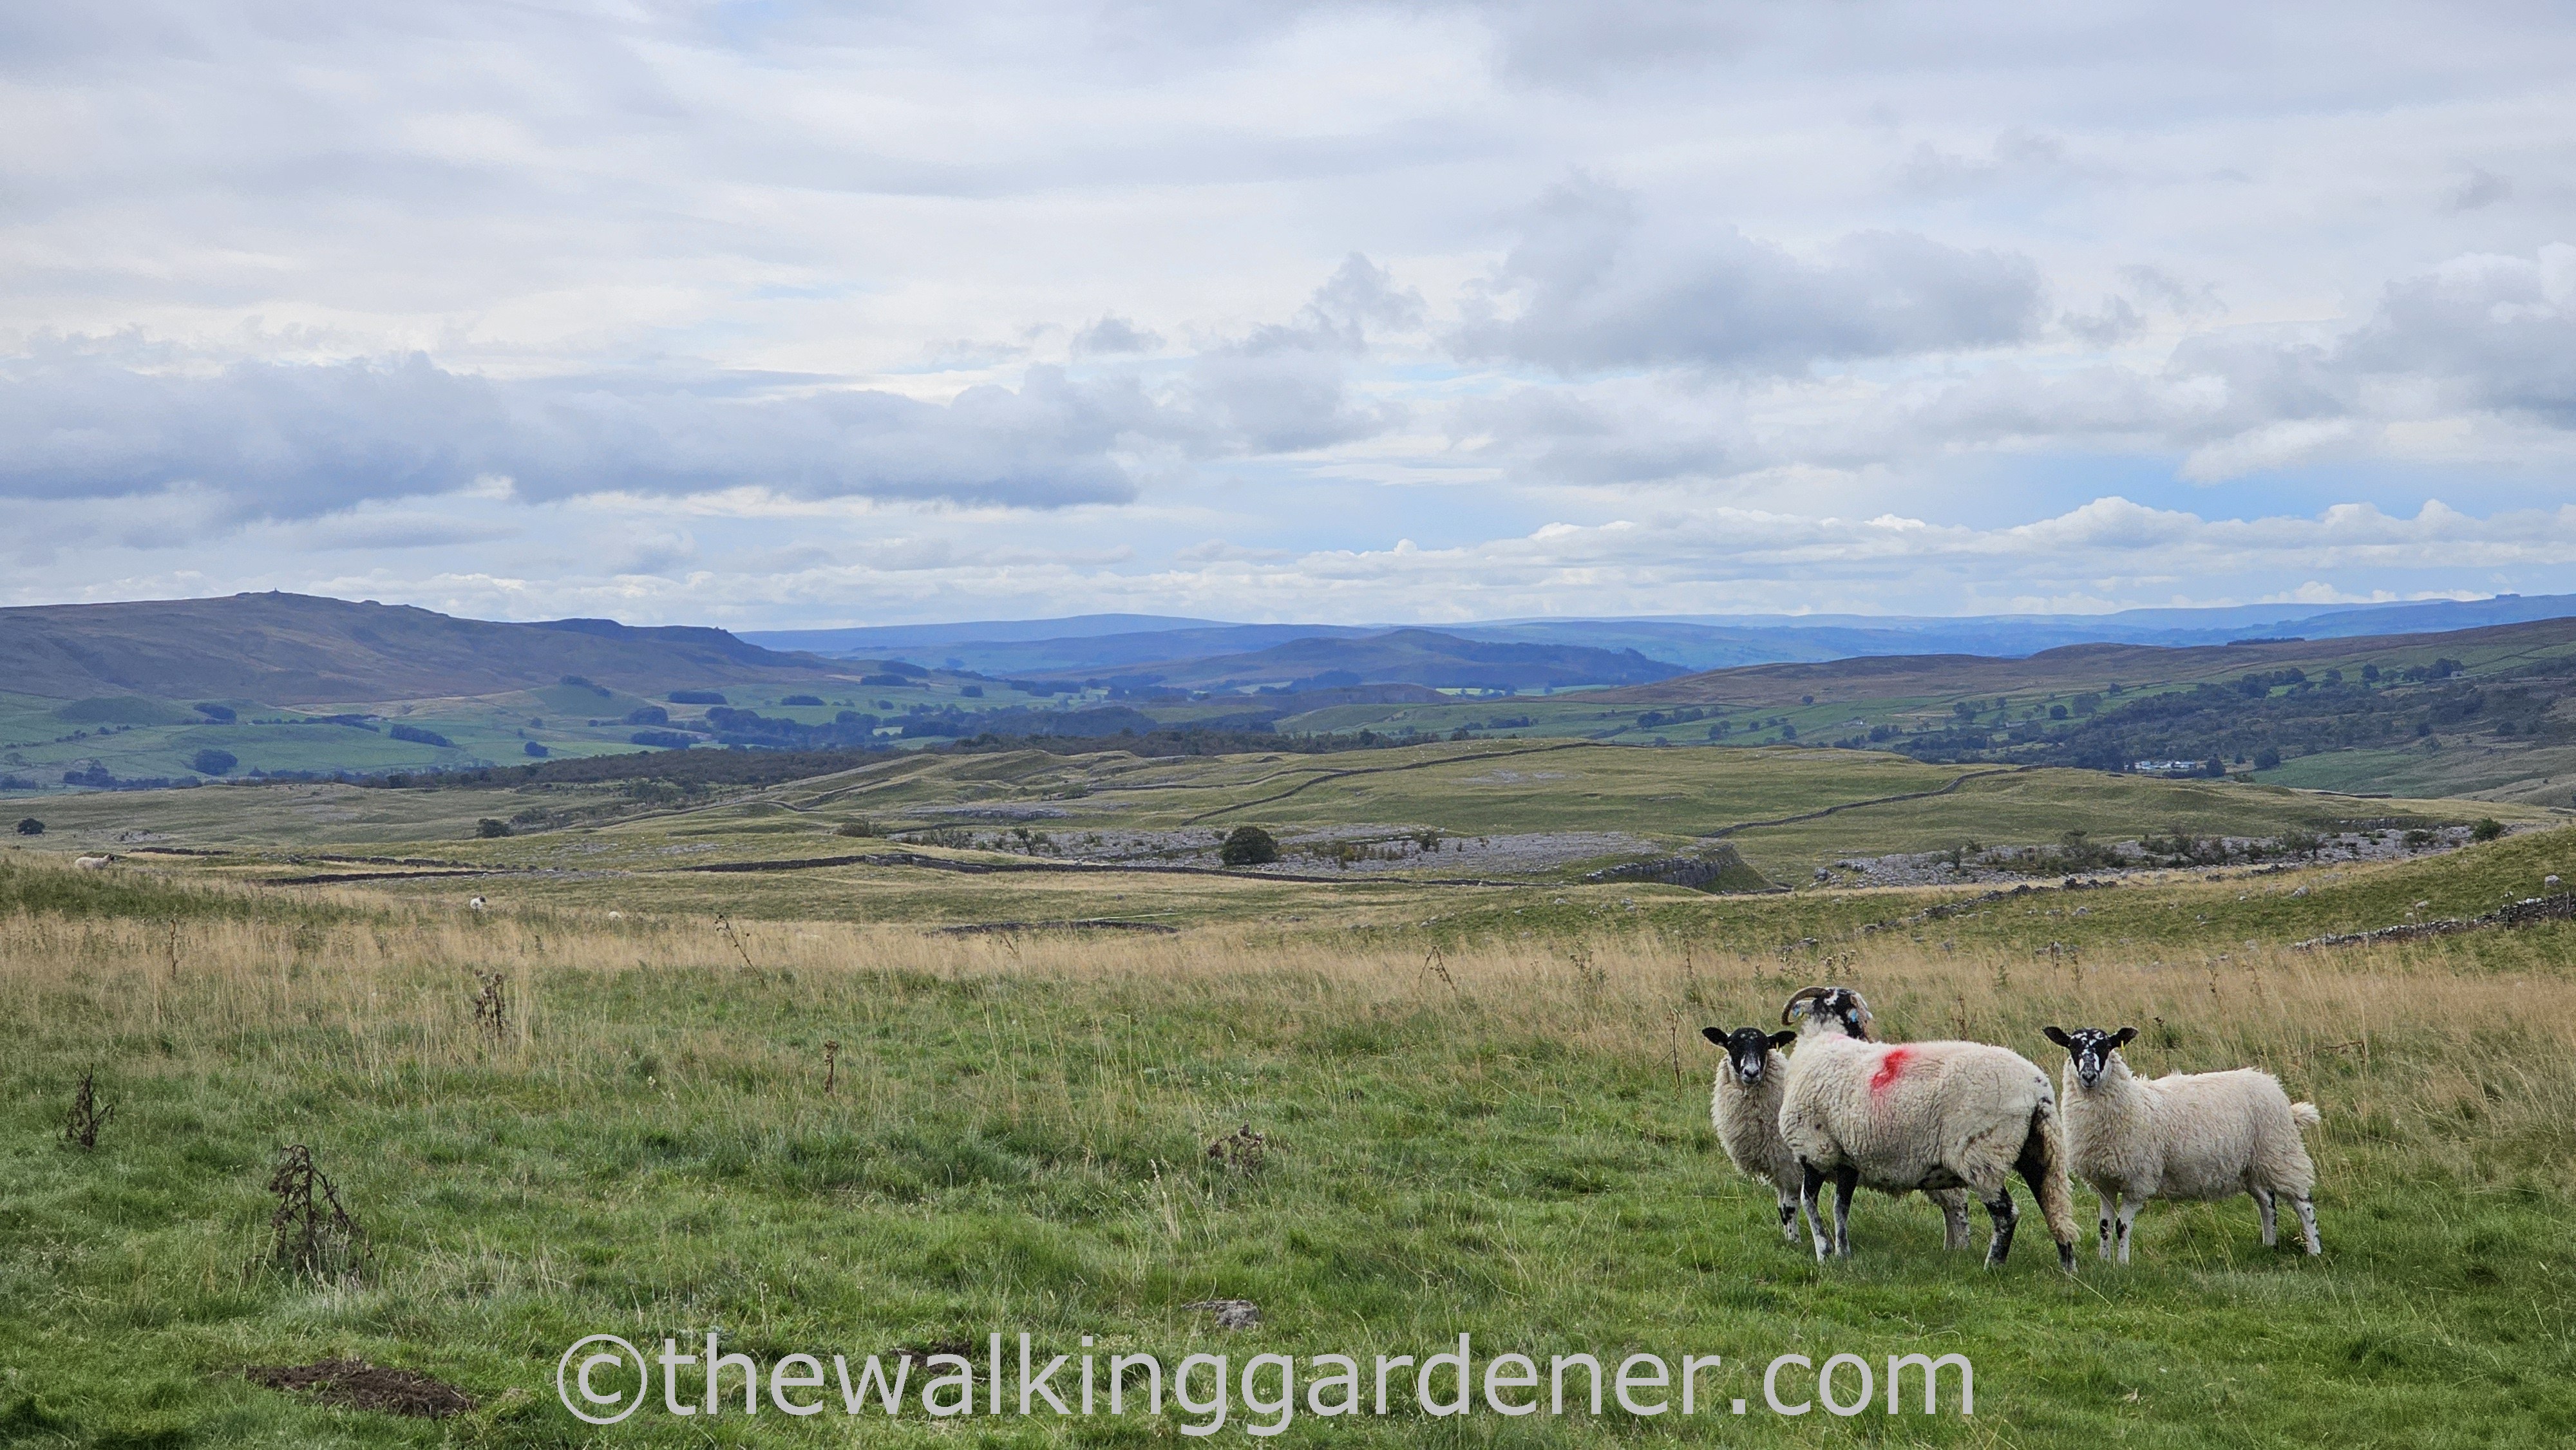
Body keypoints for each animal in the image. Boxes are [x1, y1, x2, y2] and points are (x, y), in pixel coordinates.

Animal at [1702, 1025, 1971, 1250]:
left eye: (1765, 1045)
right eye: (1731, 1044)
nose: (1751, 1072)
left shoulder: (1794, 1168)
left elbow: (1790, 1208)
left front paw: (1796, 1243)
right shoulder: (1782, 1170)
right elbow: (1782, 1209)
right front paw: (1790, 1241)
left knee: (1958, 1207)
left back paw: (1962, 1248)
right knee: (1949, 1208)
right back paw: (1950, 1248)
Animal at [1776, 986, 2079, 1272]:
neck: (1821, 1043)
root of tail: (2037, 1087)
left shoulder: (1815, 1150)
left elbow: (1809, 1203)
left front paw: (1824, 1254)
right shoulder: (1847, 1160)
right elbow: (1841, 1208)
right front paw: (1843, 1254)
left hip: (1984, 1155)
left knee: (2007, 1214)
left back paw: (1993, 1266)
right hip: (2038, 1149)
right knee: (2054, 1208)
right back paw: (2068, 1268)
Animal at [2042, 1026, 2323, 1262]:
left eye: (2106, 1046)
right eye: (2073, 1047)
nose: (2088, 1076)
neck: (2132, 1102)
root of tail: (2270, 1082)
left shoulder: (2138, 1181)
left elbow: (2122, 1226)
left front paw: (2122, 1265)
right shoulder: (2104, 1182)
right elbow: (2104, 1226)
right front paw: (2104, 1262)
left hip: (2279, 1152)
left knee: (2303, 1202)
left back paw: (2314, 1251)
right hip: (2249, 1164)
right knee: (2267, 1200)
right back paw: (2269, 1244)